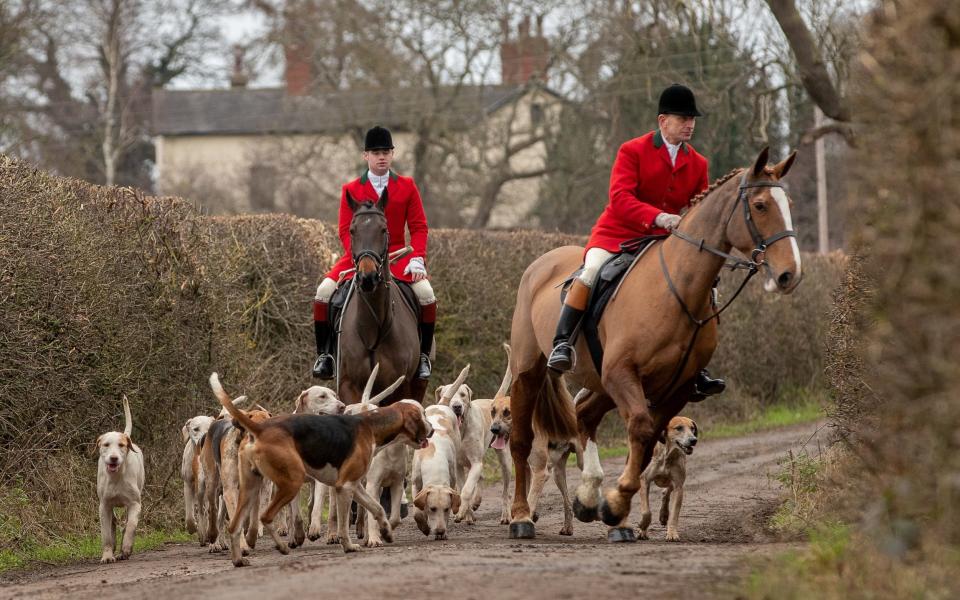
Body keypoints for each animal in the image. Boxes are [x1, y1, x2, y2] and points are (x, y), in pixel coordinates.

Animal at [340, 191, 426, 408]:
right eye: (352, 231)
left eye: (383, 229)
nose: (367, 278)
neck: (373, 328)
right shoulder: (348, 385)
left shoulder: (399, 386)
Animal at [510, 149, 804, 540]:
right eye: (759, 205)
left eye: (789, 204)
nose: (790, 274)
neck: (677, 288)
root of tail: (542, 263)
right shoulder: (623, 374)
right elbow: (641, 429)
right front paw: (616, 503)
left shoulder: (676, 386)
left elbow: (647, 442)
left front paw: (614, 507)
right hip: (530, 373)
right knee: (521, 441)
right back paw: (521, 517)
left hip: (603, 384)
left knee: (585, 416)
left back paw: (589, 499)